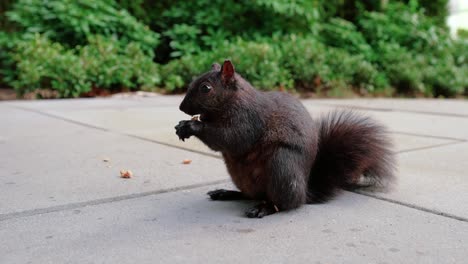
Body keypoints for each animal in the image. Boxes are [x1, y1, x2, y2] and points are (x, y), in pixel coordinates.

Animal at [176, 60, 394, 218]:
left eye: (206, 88)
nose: (181, 107)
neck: (231, 101)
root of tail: (304, 192)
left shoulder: (248, 120)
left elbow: (232, 138)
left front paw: (192, 126)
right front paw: (182, 126)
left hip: (281, 165)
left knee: (284, 203)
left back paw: (264, 208)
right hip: (241, 176)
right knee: (250, 194)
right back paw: (226, 193)